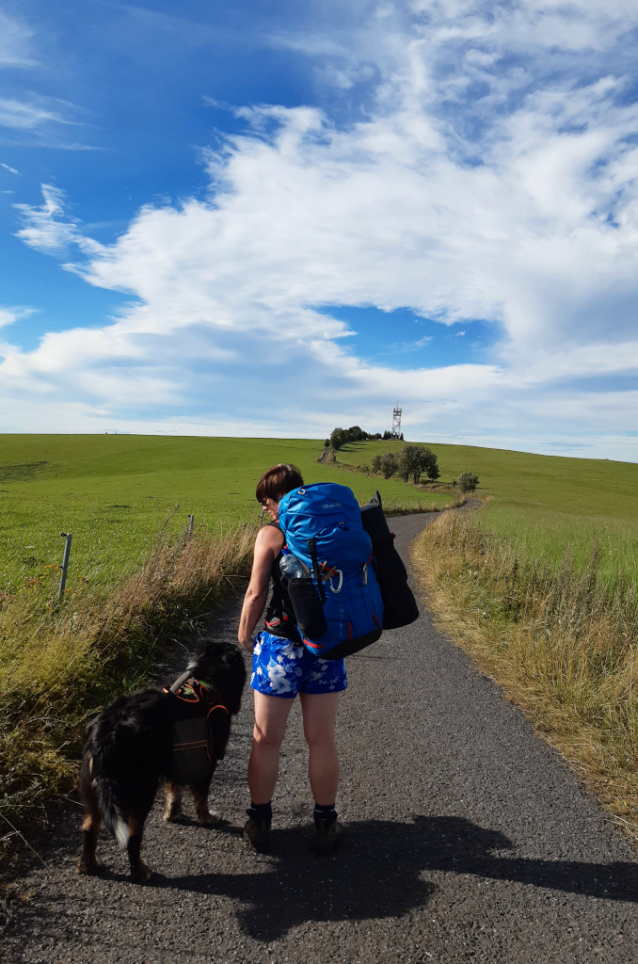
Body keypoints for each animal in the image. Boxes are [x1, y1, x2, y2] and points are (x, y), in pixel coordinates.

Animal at [79, 640, 248, 880]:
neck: (207, 686)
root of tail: (105, 733)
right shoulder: (208, 762)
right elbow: (201, 798)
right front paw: (206, 818)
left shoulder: (172, 760)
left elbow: (174, 792)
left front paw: (173, 814)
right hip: (140, 791)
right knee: (133, 834)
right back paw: (140, 872)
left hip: (93, 790)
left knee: (89, 827)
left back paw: (88, 865)